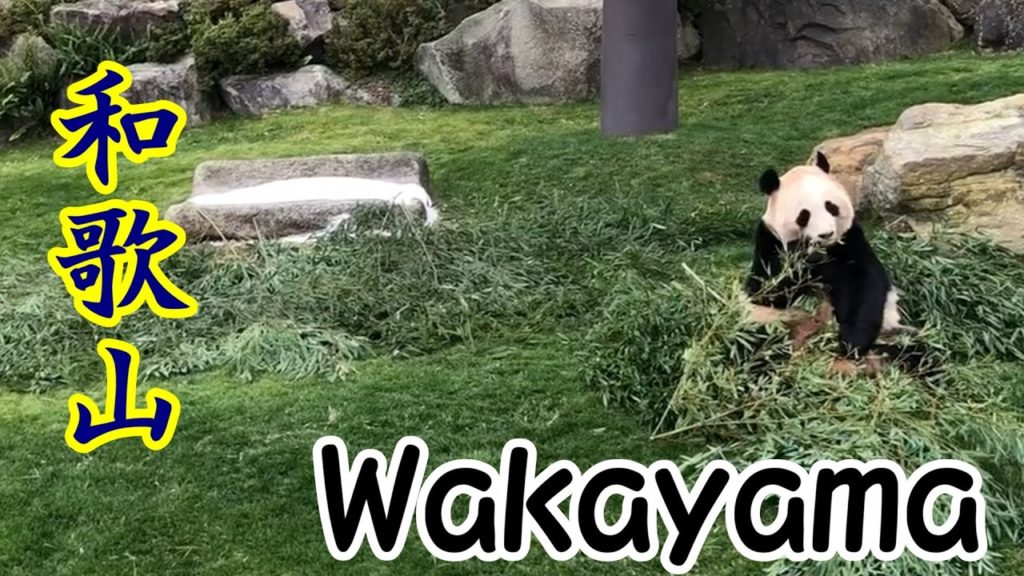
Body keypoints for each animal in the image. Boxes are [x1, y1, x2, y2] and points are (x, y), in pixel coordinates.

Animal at [745, 152, 913, 374]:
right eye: (804, 215)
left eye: (831, 207)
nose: (825, 234)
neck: (824, 252)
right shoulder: (769, 242)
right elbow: (767, 291)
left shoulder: (850, 241)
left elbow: (863, 286)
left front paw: (851, 343)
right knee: (756, 340)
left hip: (891, 334)